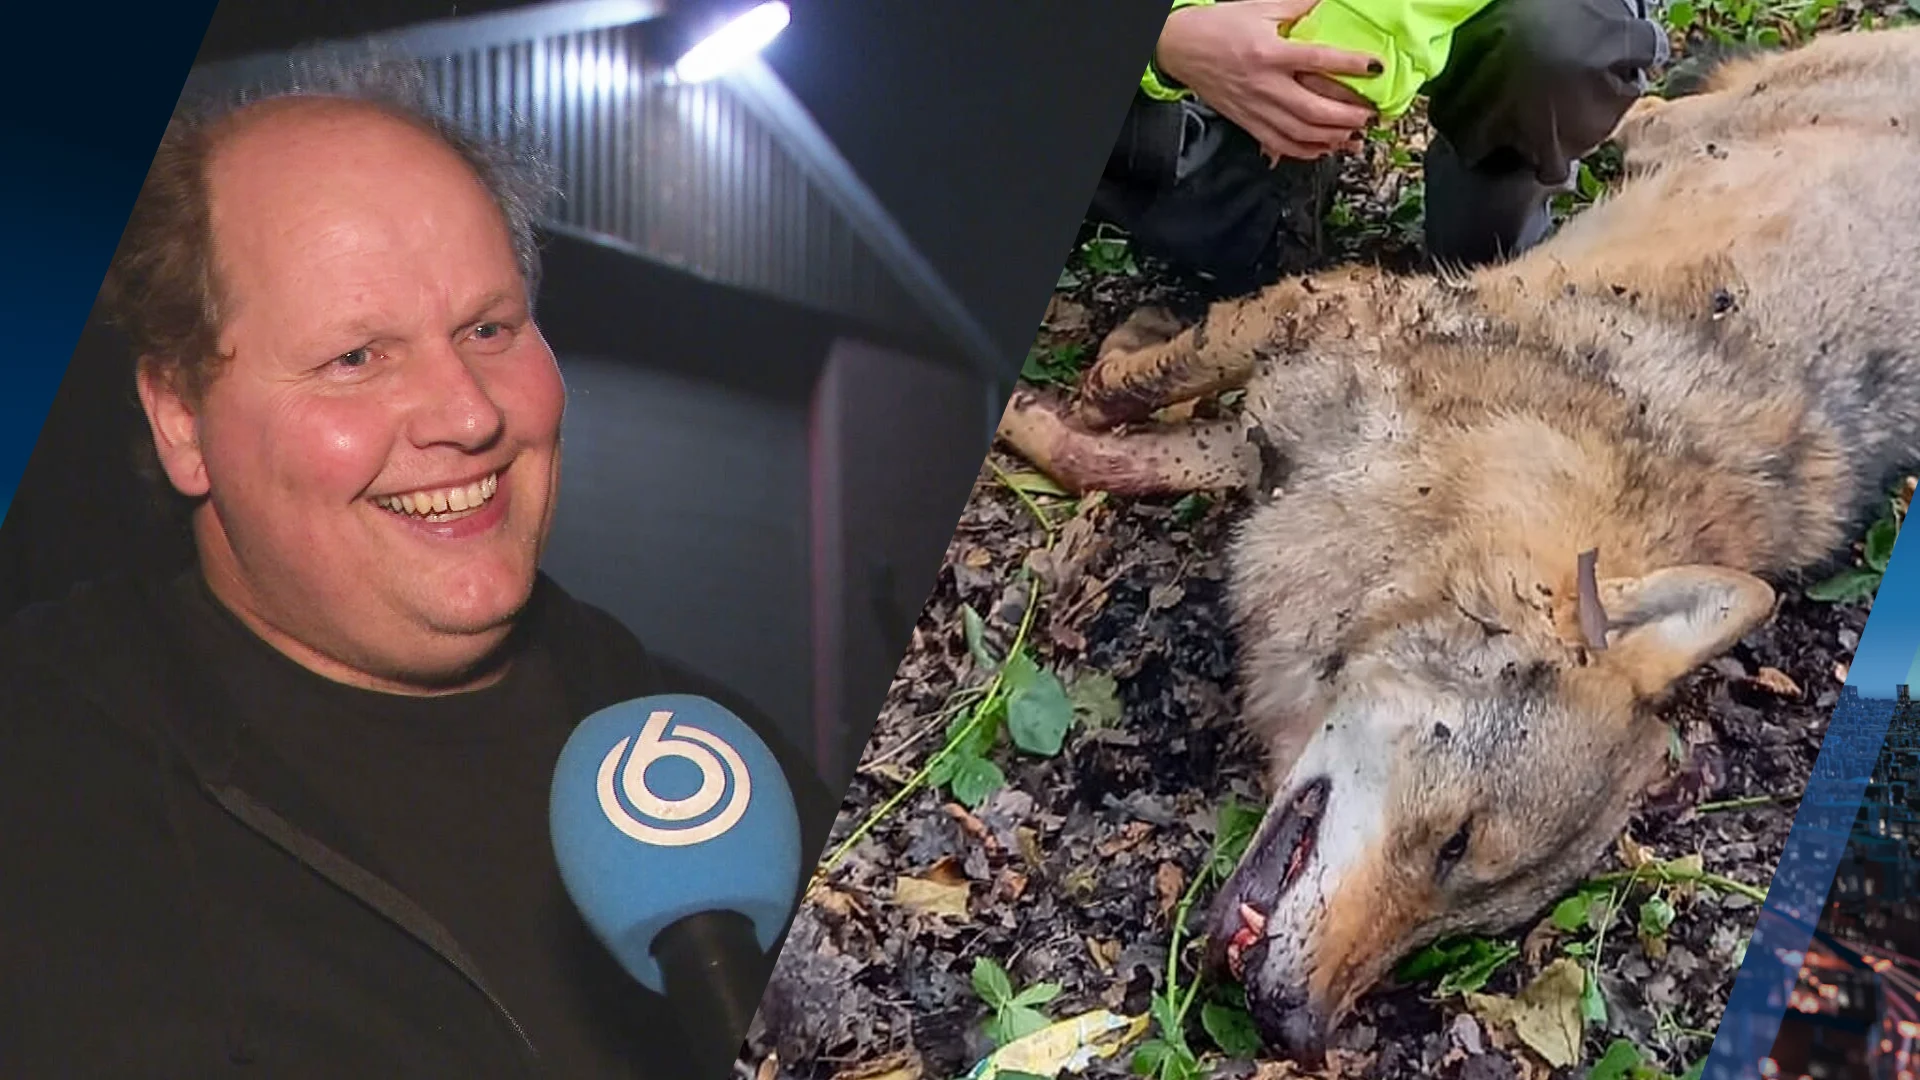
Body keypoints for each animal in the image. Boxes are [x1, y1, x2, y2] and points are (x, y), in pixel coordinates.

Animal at [997, 27, 1920, 1058]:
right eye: (1456, 841)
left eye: (1459, 915)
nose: (1300, 1029)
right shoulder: (1318, 322)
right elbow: (1128, 396)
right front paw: (1070, 384)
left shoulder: (1270, 444)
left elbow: (1110, 452)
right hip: (1698, 126)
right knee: (1646, 118)